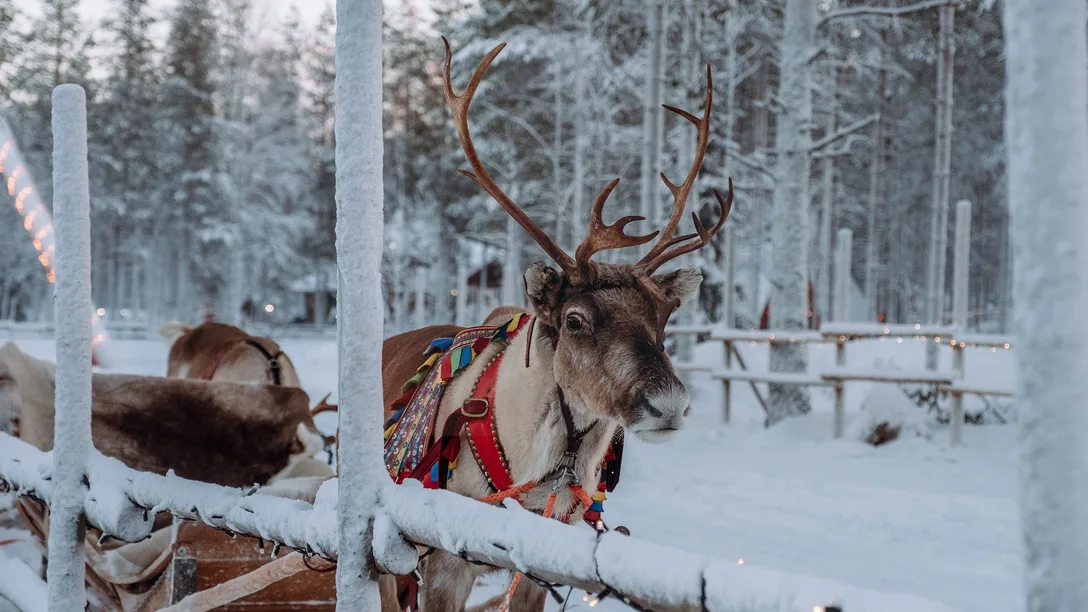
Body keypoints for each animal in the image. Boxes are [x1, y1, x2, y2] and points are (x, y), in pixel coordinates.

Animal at [376, 38, 733, 612]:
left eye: (664, 318)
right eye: (575, 319)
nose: (670, 406)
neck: (546, 463)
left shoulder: (544, 554)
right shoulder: (446, 559)